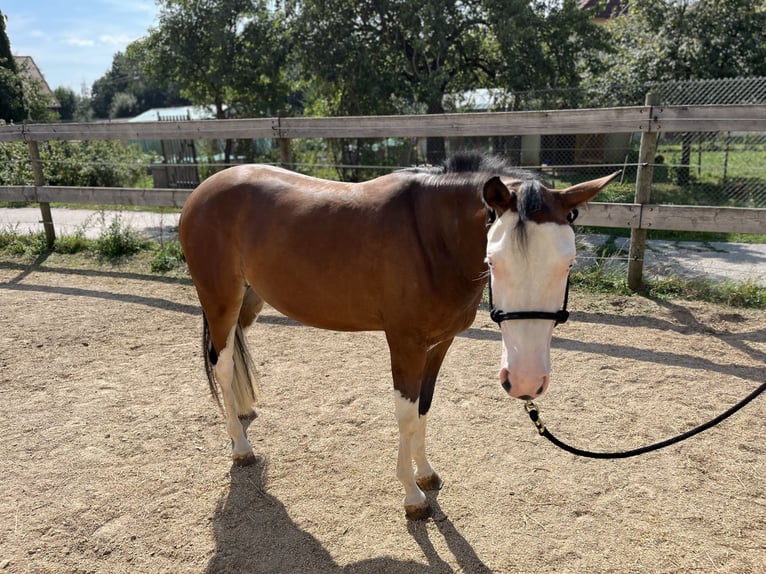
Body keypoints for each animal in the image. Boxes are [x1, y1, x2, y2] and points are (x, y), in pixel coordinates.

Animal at [182, 154, 624, 520]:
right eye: (493, 261)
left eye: (568, 262)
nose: (526, 379)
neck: (432, 238)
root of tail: (203, 190)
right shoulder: (404, 343)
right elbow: (406, 414)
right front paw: (413, 496)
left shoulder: (439, 344)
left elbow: (424, 407)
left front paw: (426, 473)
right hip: (221, 301)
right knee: (221, 364)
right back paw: (241, 447)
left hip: (249, 301)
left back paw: (241, 414)